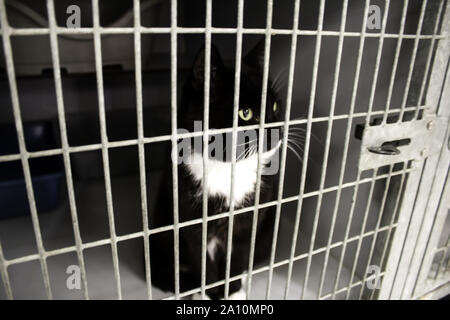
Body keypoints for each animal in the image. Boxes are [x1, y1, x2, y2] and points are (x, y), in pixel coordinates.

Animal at [148, 40, 288, 300]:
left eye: (275, 106)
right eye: (246, 113)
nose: (278, 131)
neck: (228, 167)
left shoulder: (249, 219)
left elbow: (239, 255)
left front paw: (233, 291)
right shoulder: (190, 222)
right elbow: (202, 261)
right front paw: (209, 293)